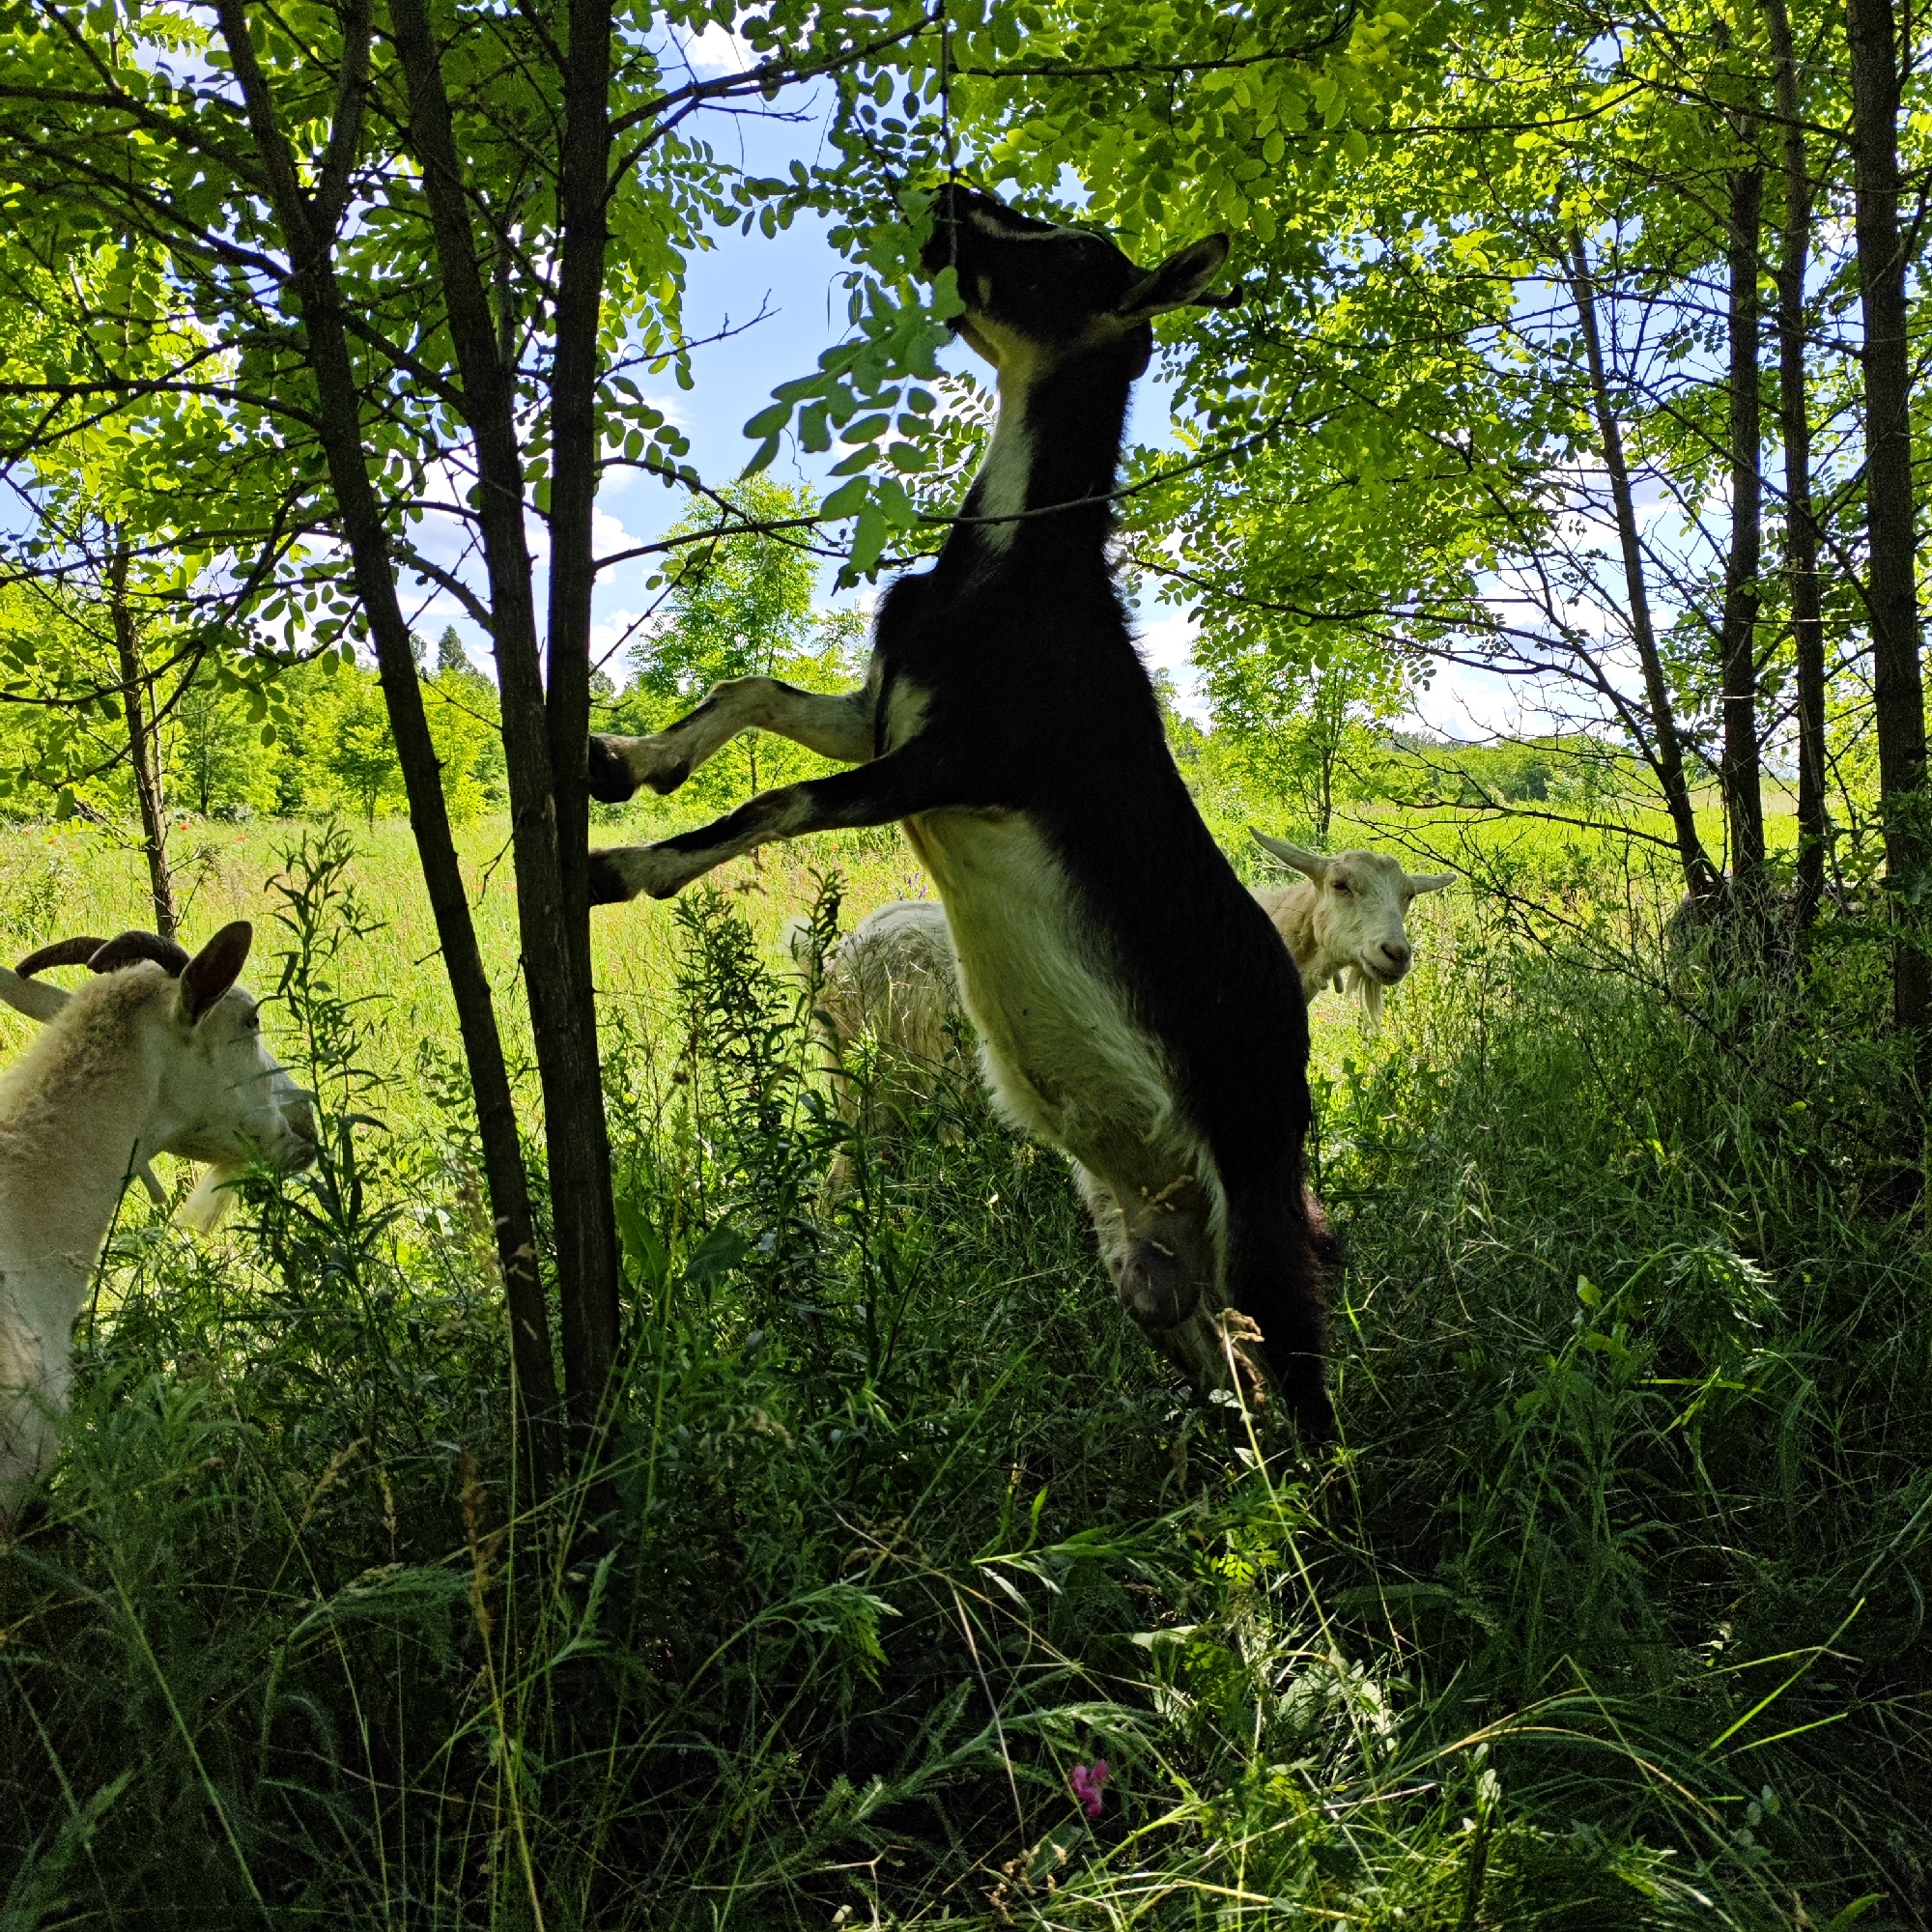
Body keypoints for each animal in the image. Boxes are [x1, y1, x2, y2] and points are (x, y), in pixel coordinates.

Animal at [583, 186, 1333, 1434]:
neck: (1010, 574)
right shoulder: (882, 713)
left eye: (1066, 251)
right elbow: (751, 692)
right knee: (1220, 1355)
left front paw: (622, 866)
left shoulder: (953, 762)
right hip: (1141, 1239)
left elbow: (780, 801)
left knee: (1303, 1368)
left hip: (1258, 1188)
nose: (947, 198)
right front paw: (620, 761)